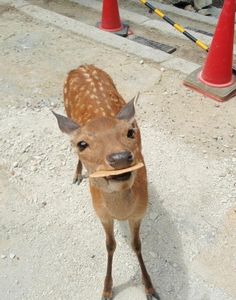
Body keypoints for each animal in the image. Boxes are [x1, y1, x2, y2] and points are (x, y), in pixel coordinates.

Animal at [53, 65, 159, 300]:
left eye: (130, 132)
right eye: (83, 144)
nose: (120, 158)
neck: (121, 212)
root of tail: (82, 66)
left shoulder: (140, 211)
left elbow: (137, 244)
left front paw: (150, 288)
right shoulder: (101, 212)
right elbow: (110, 245)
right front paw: (107, 289)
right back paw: (77, 175)